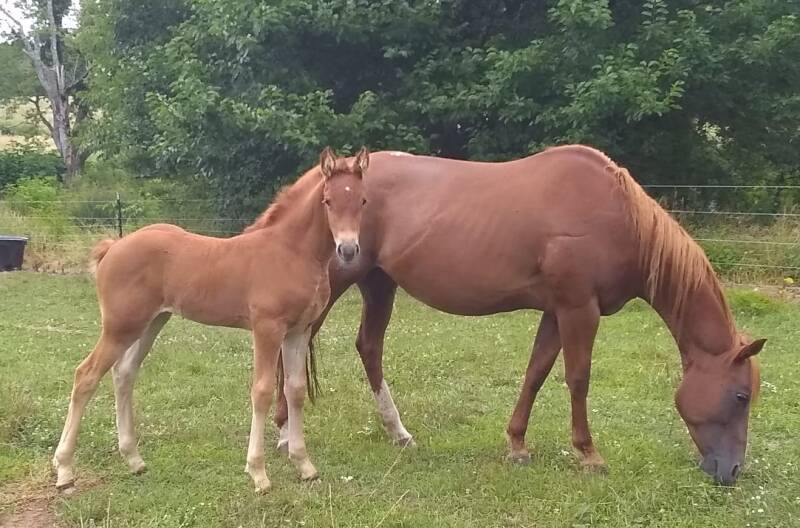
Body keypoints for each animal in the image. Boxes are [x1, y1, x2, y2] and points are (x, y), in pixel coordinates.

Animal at [53, 147, 370, 493]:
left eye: (362, 201)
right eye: (328, 200)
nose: (349, 249)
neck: (289, 252)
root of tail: (113, 247)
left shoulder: (298, 331)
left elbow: (295, 390)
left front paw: (304, 465)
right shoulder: (267, 329)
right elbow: (261, 391)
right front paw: (258, 473)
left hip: (151, 323)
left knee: (124, 374)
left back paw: (133, 459)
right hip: (120, 326)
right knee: (86, 375)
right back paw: (65, 470)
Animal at [273, 145, 764, 485]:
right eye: (741, 396)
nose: (732, 471)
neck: (620, 217)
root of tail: (319, 182)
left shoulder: (556, 311)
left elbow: (536, 372)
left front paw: (517, 444)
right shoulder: (579, 309)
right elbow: (578, 378)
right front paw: (589, 454)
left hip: (379, 284)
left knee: (368, 347)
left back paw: (397, 432)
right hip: (335, 283)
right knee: (292, 347)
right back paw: (283, 434)